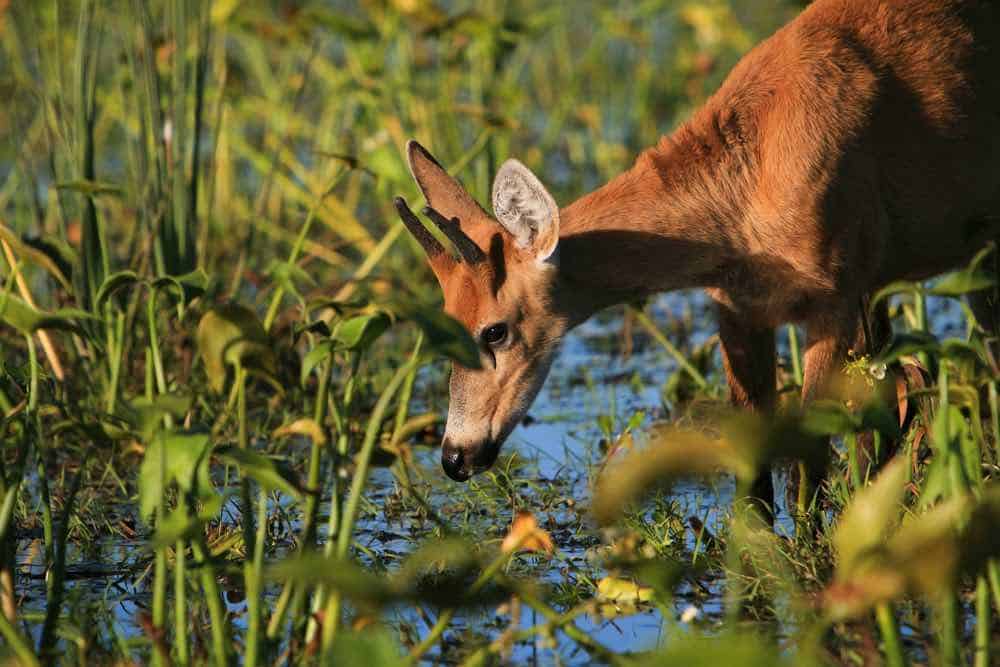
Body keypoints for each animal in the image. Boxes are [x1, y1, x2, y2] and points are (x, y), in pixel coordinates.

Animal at [388, 0, 1000, 516]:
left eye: (495, 331)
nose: (454, 457)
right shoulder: (737, 306)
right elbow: (754, 471)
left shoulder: (837, 294)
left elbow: (810, 456)